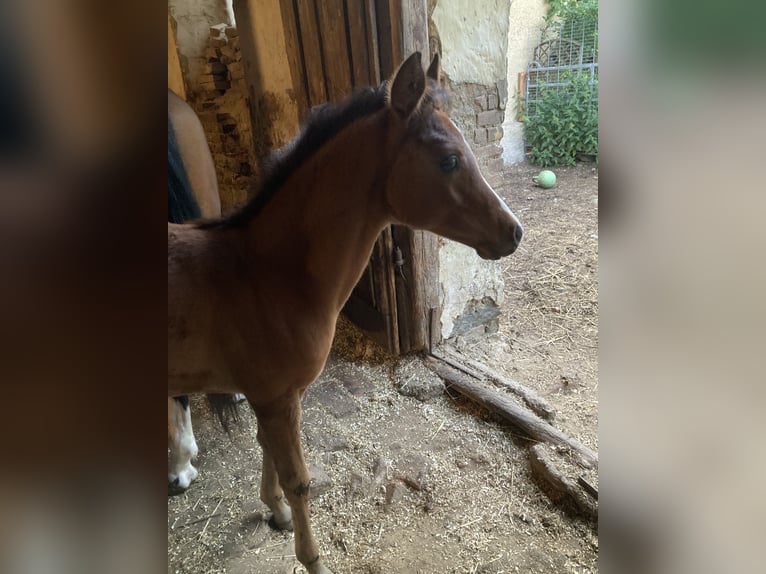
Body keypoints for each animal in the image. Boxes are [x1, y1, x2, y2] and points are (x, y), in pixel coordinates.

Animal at [168, 52, 522, 574]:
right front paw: (311, 557)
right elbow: (298, 479)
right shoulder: (276, 397)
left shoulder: (271, 397)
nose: (514, 231)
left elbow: (267, 450)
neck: (265, 275)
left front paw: (275, 512)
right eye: (449, 159)